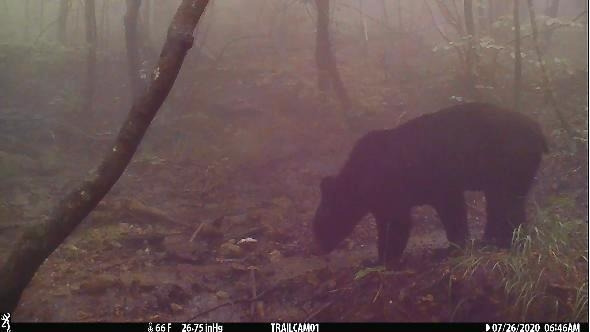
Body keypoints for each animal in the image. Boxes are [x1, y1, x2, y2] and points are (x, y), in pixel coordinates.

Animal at [314, 102, 552, 264]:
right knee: (501, 202)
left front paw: (381, 259)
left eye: (320, 220)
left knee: (507, 201)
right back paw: (492, 239)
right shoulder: (386, 199)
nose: (319, 246)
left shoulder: (407, 187)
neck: (360, 182)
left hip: (508, 162)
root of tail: (539, 130)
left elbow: (400, 223)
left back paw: (507, 241)